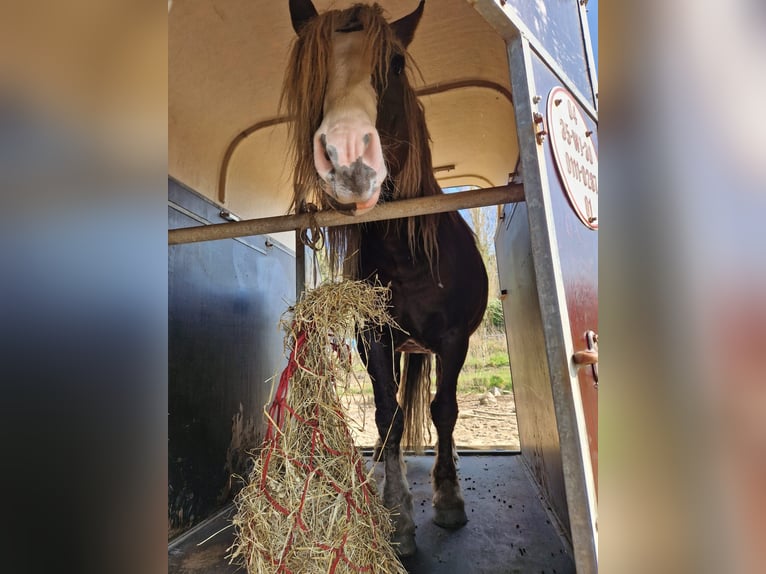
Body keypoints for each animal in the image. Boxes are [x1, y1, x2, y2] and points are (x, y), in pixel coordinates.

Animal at [284, 0, 488, 560]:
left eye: (395, 63)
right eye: (315, 67)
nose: (348, 158)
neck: (409, 253)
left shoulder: (454, 341)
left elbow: (444, 411)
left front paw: (448, 499)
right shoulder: (375, 338)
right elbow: (387, 416)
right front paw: (397, 516)